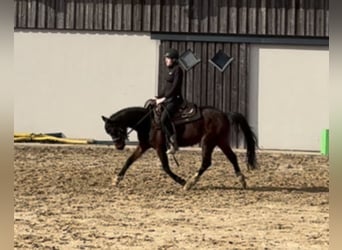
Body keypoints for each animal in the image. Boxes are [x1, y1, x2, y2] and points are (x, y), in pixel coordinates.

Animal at [101, 102, 256, 190]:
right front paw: (116, 180)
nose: (118, 146)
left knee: (206, 162)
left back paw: (190, 183)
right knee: (232, 157)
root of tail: (224, 114)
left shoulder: (160, 148)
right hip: (220, 141)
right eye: (108, 131)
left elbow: (165, 167)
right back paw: (242, 180)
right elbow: (129, 161)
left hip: (208, 141)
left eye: (114, 129)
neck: (148, 123)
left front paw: (181, 181)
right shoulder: (144, 146)